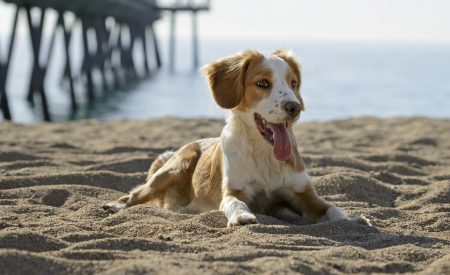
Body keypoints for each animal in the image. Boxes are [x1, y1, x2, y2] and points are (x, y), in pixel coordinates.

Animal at [103, 49, 370, 229]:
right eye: (263, 83)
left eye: (293, 83)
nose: (294, 107)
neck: (264, 154)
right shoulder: (233, 191)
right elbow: (234, 203)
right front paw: (242, 216)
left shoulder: (303, 195)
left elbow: (333, 209)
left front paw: (353, 219)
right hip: (174, 169)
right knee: (134, 195)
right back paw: (114, 206)